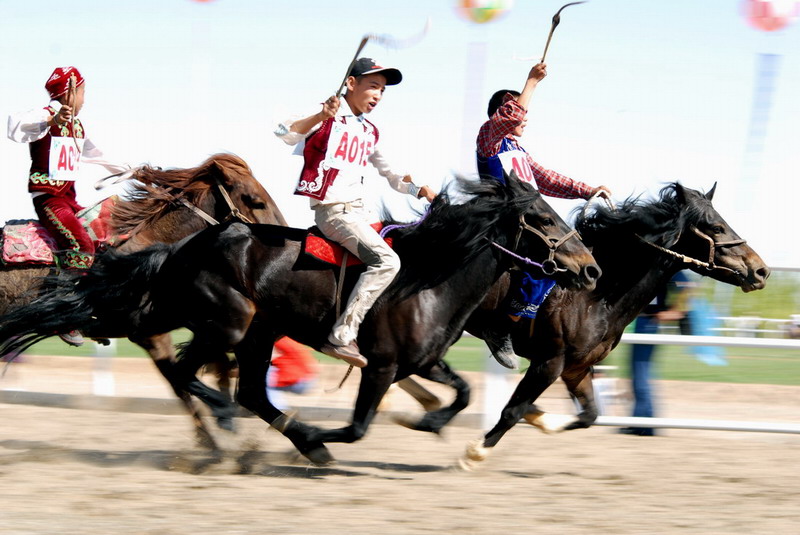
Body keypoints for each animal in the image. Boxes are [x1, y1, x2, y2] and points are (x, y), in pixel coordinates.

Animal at [460, 182, 772, 466]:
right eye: (716, 227)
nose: (761, 271)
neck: (595, 294)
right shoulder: (549, 362)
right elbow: (512, 411)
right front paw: (474, 453)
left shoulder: (576, 367)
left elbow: (589, 415)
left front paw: (542, 418)